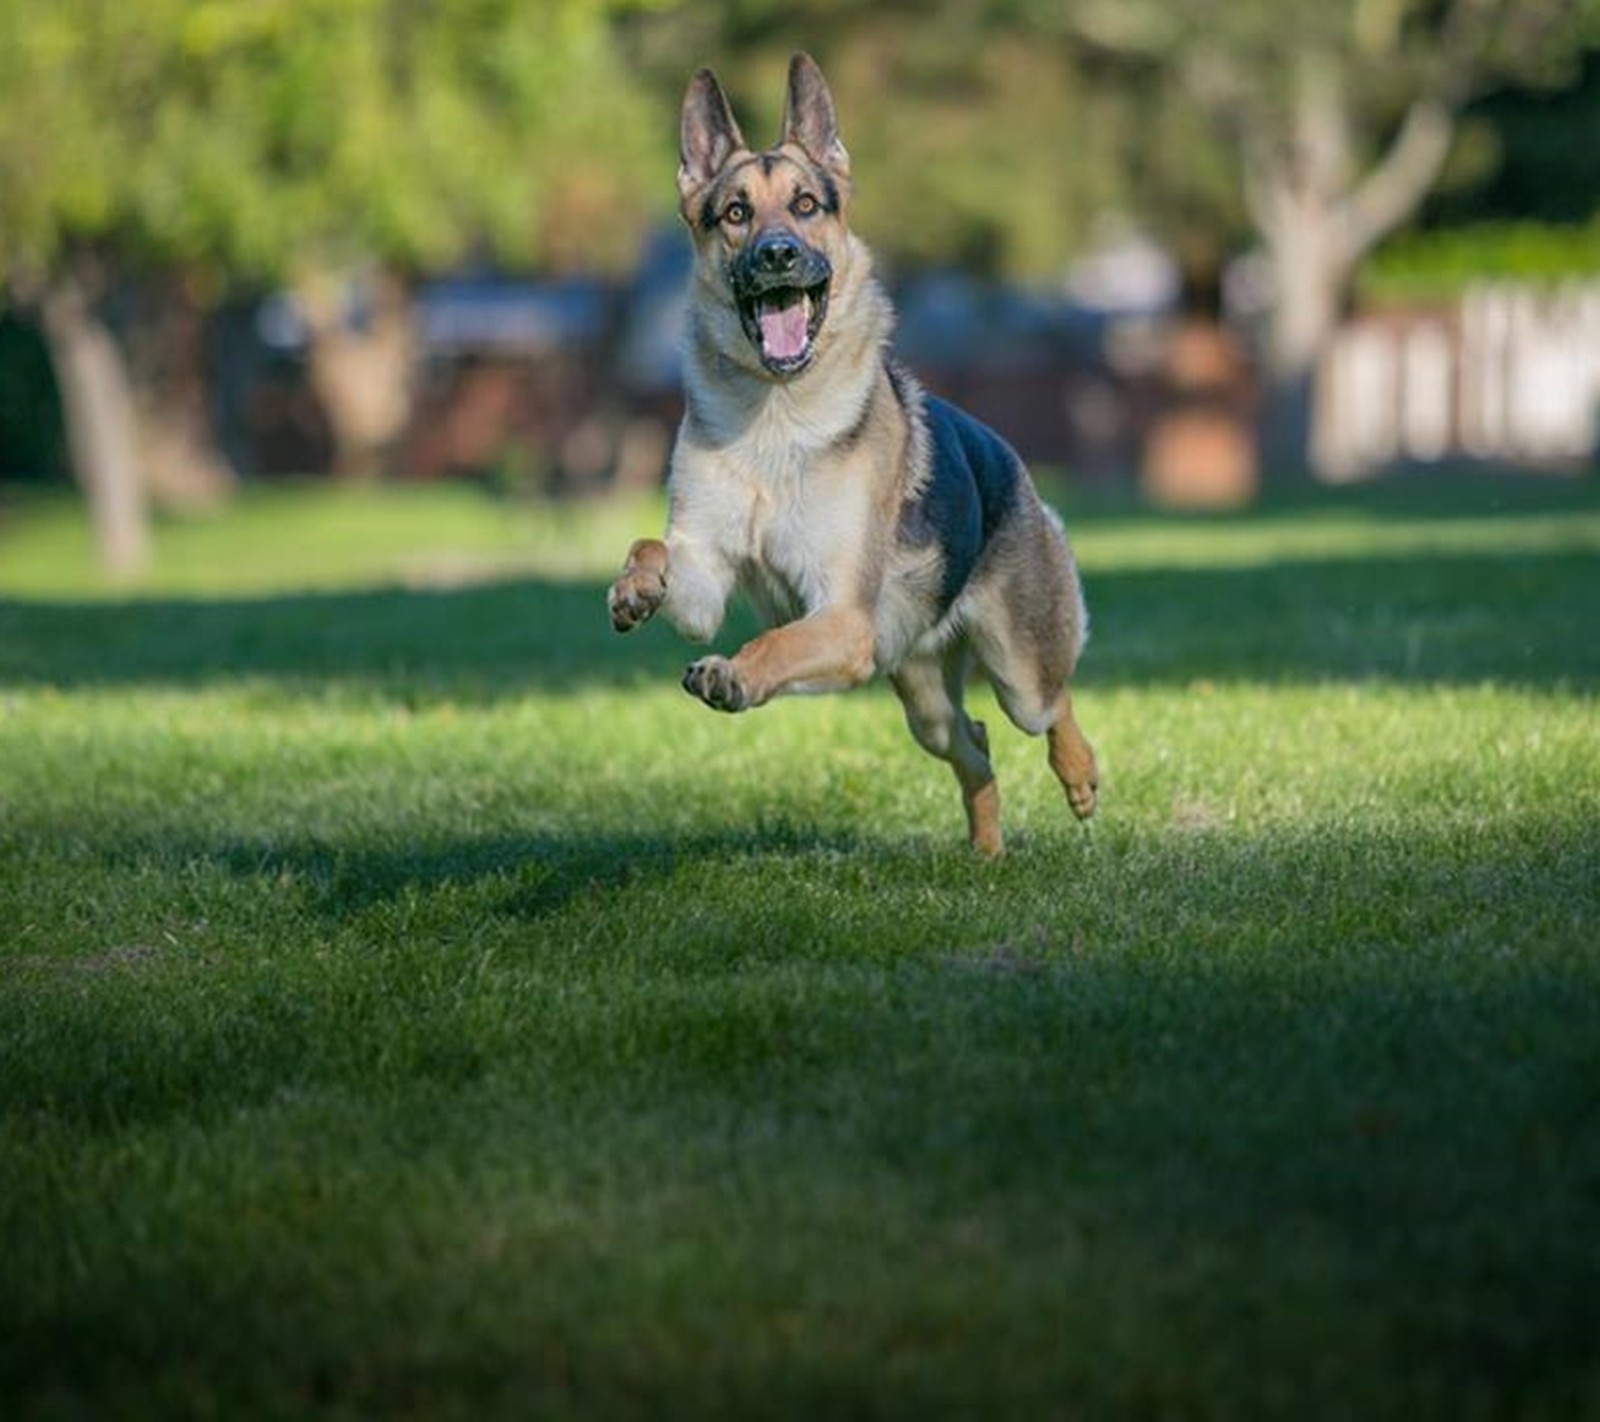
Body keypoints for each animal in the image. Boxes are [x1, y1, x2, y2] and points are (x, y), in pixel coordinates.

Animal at [604, 52, 1094, 857]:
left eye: (806, 206)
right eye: (734, 214)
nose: (777, 254)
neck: (777, 420)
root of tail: (1014, 467)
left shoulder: (841, 620)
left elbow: (776, 642)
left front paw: (736, 675)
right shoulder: (705, 580)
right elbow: (657, 546)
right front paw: (636, 586)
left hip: (1017, 670)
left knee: (1049, 708)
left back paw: (1081, 779)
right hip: (923, 702)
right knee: (975, 742)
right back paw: (986, 853)